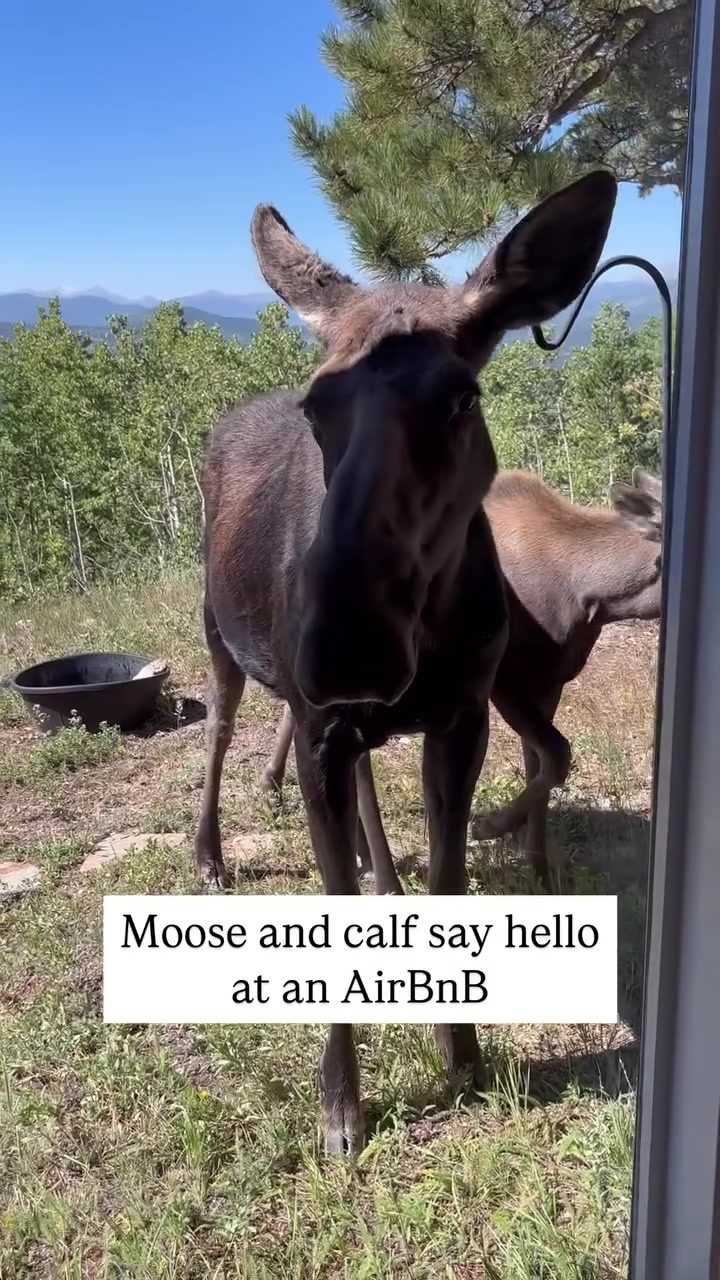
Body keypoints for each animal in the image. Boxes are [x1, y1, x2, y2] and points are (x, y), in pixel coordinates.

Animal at [194, 170, 617, 1155]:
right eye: (318, 406)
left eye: (462, 398)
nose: (345, 640)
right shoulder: (318, 719)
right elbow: (329, 895)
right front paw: (341, 1109)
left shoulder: (461, 716)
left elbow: (451, 875)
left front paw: (463, 1055)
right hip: (219, 635)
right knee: (222, 731)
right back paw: (212, 856)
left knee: (363, 788)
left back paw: (382, 874)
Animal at [262, 466, 663, 890]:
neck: (589, 596)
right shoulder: (505, 680)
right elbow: (557, 754)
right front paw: (491, 825)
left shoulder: (549, 682)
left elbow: (540, 764)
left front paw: (539, 871)